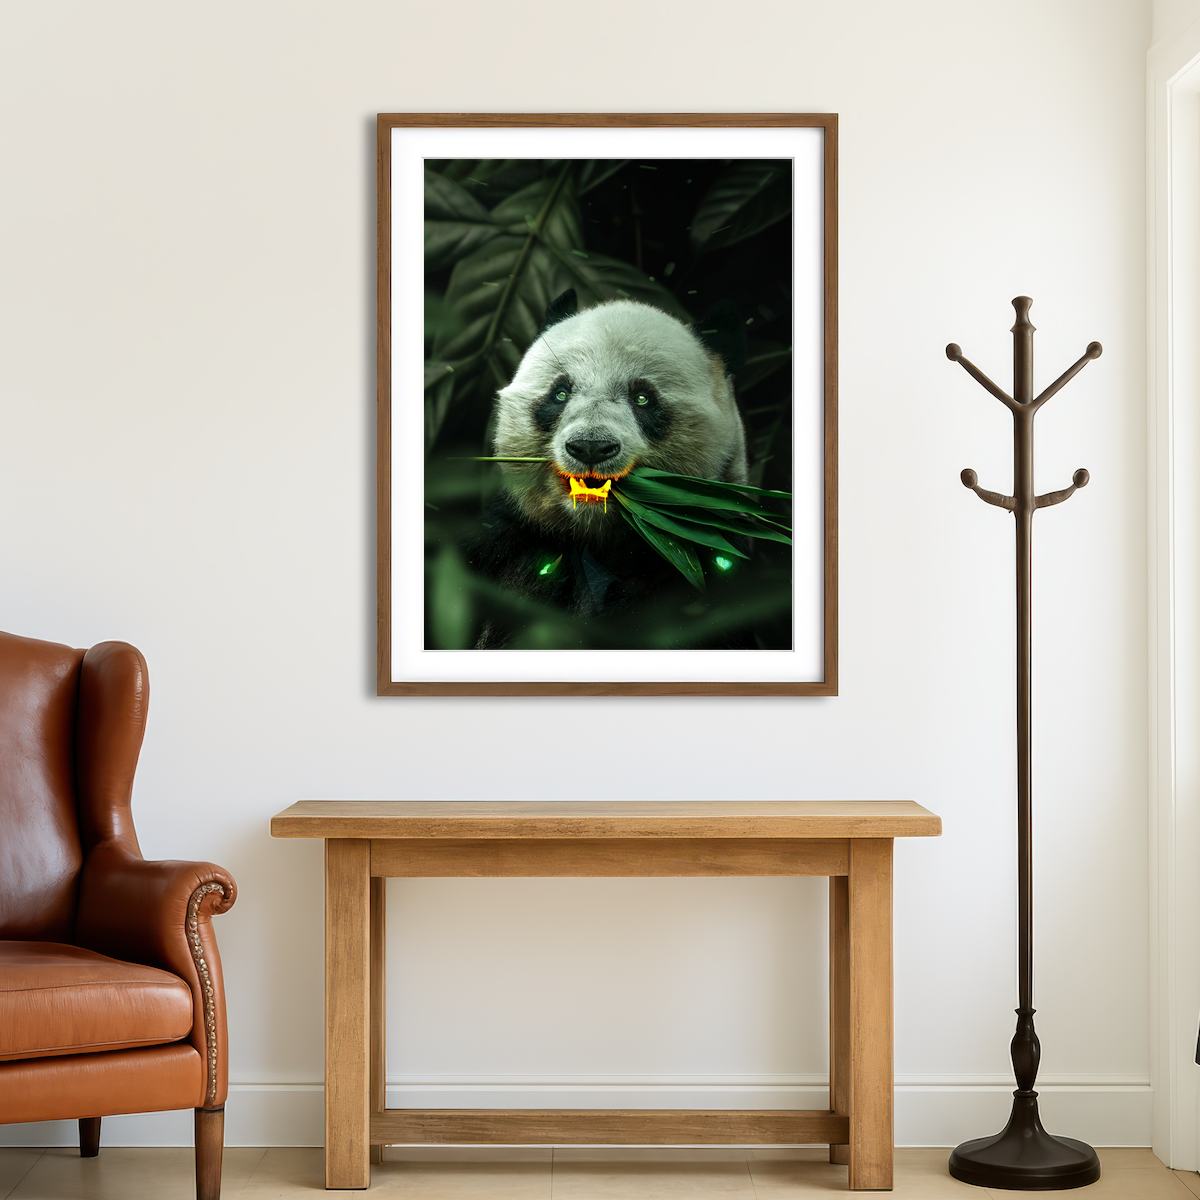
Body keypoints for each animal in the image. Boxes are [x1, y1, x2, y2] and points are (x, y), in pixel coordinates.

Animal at [464, 288, 750, 647]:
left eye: (643, 398)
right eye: (561, 393)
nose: (591, 447)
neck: (598, 535)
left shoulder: (703, 561)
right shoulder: (510, 537)